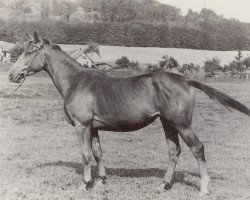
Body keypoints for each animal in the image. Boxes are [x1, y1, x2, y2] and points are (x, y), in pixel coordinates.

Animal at [8, 32, 250, 196]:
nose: (12, 75)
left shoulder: (81, 125)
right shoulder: (93, 127)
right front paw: (101, 180)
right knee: (174, 151)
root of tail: (184, 79)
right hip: (168, 123)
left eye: (29, 51)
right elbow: (98, 153)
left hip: (182, 125)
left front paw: (85, 184)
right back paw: (164, 185)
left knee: (198, 149)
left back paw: (204, 188)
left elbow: (85, 154)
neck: (76, 81)